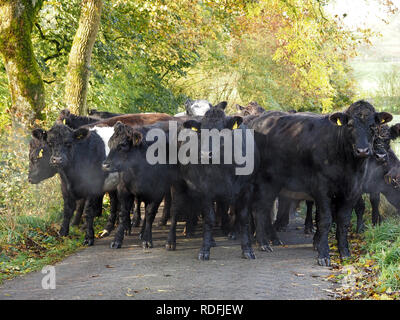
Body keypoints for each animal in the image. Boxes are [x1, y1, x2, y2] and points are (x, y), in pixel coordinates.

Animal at [247, 101, 390, 266]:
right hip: (261, 181)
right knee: (258, 209)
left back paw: (270, 240)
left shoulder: (353, 191)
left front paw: (345, 253)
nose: (362, 150)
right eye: (350, 125)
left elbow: (343, 221)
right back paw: (263, 243)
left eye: (373, 126)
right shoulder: (322, 189)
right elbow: (325, 220)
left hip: (274, 184)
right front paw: (323, 254)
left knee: (263, 209)